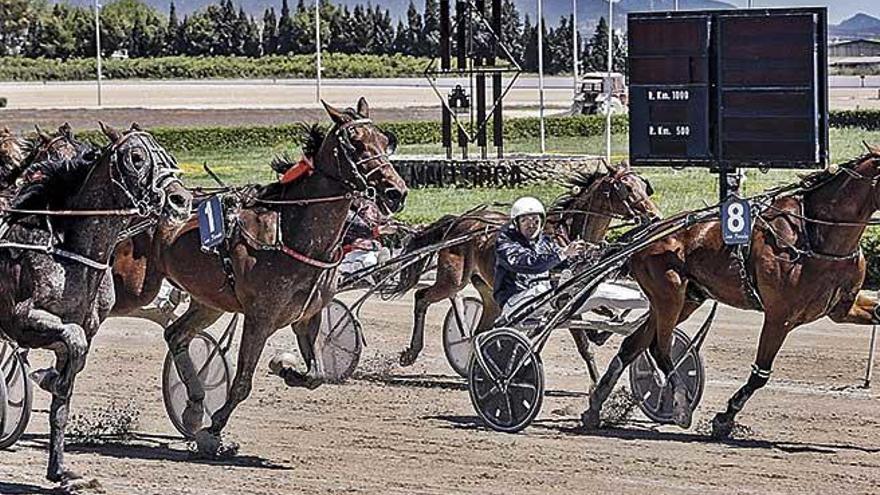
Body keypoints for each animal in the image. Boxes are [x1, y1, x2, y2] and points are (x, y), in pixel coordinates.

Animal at [0, 122, 192, 486]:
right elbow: (71, 343)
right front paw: (47, 378)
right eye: (136, 157)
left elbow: (67, 387)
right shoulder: (21, 319)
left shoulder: (83, 327)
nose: (181, 200)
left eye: (168, 155)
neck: (64, 248)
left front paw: (60, 470)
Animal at [156, 98, 410, 458]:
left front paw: (285, 368)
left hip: (209, 301)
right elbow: (241, 383)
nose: (395, 193)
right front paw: (213, 430)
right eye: (356, 143)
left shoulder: (307, 316)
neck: (289, 234)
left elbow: (317, 375)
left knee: (176, 335)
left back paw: (192, 408)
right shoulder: (260, 317)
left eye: (386, 141)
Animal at [388, 163, 656, 376]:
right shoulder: (564, 299)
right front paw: (594, 382)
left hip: (487, 291)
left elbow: (609, 313)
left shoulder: (580, 292)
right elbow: (584, 345)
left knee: (480, 331)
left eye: (644, 185)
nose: (654, 215)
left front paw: (604, 332)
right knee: (422, 297)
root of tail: (458, 222)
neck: (569, 234)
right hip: (452, 279)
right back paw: (412, 352)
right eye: (627, 188)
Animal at [580, 145, 880, 440]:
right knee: (659, 347)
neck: (815, 235)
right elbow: (760, 374)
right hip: (669, 294)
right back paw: (680, 407)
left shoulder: (842, 308)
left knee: (633, 344)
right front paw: (724, 419)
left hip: (684, 299)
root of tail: (647, 232)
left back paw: (595, 406)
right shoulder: (779, 316)